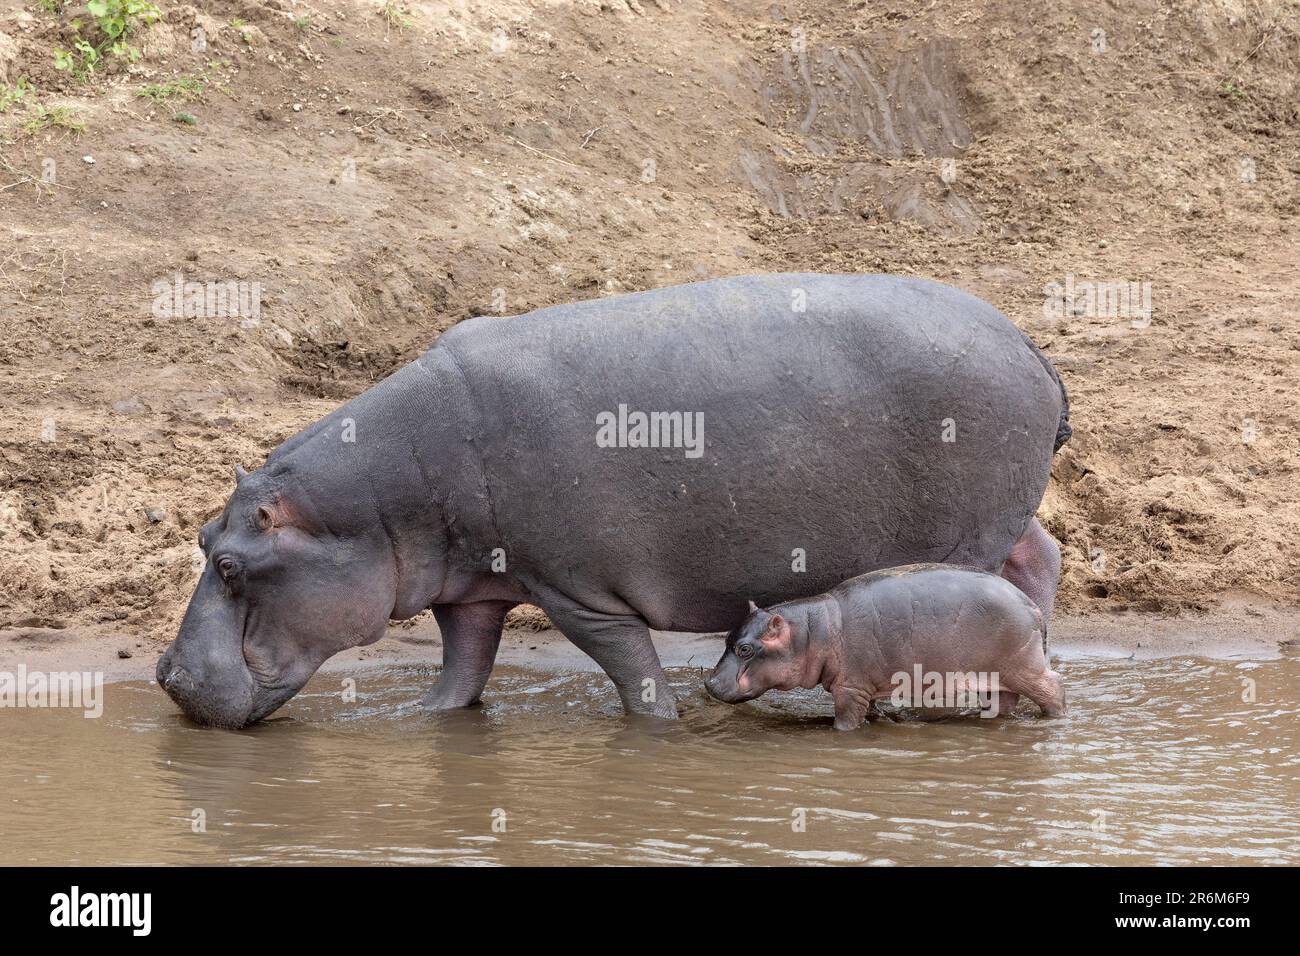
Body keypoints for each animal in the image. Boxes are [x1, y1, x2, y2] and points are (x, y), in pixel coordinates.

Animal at [707, 564, 1060, 728]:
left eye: (745, 649)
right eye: (727, 639)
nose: (709, 683)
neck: (811, 632)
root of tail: (1032, 605)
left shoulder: (850, 688)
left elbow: (846, 721)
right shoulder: (867, 687)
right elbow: (872, 710)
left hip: (1025, 667)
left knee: (1054, 687)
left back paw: (1053, 719)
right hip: (997, 676)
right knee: (1004, 701)